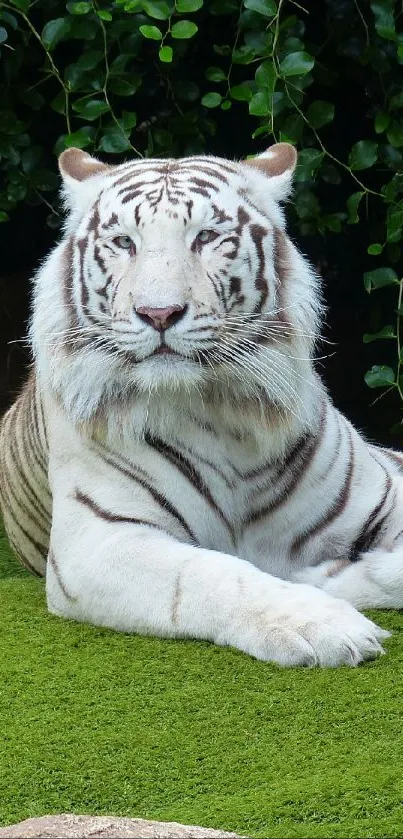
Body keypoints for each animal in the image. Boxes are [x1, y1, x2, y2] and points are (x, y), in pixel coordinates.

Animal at [1, 144, 402, 668]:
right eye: (124, 242)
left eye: (206, 237)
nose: (158, 314)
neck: (223, 412)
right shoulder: (98, 542)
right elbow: (213, 574)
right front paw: (325, 623)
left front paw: (333, 578)